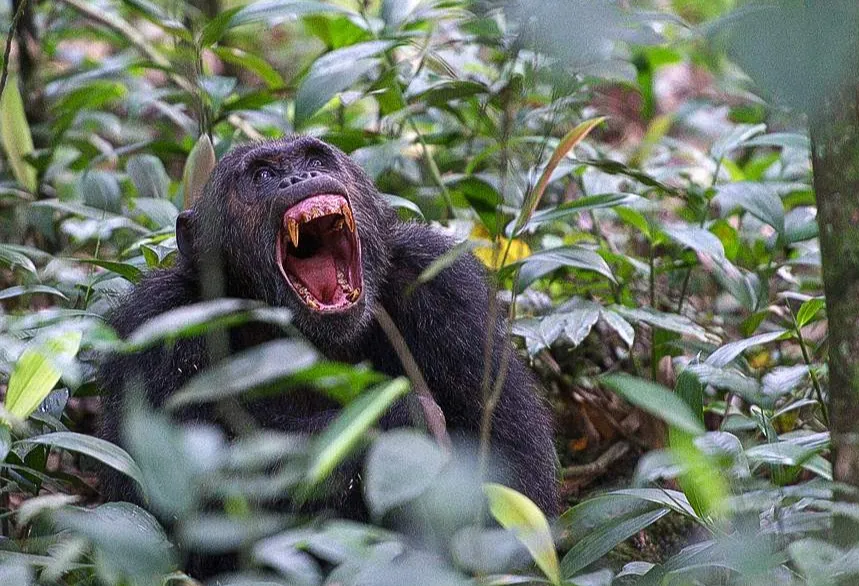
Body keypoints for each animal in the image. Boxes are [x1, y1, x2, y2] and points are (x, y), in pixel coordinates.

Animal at [97, 135, 559, 521]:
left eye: (317, 159)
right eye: (263, 176)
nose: (300, 177)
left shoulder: (448, 291)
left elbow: (514, 467)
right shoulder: (157, 327)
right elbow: (176, 494)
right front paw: (403, 414)